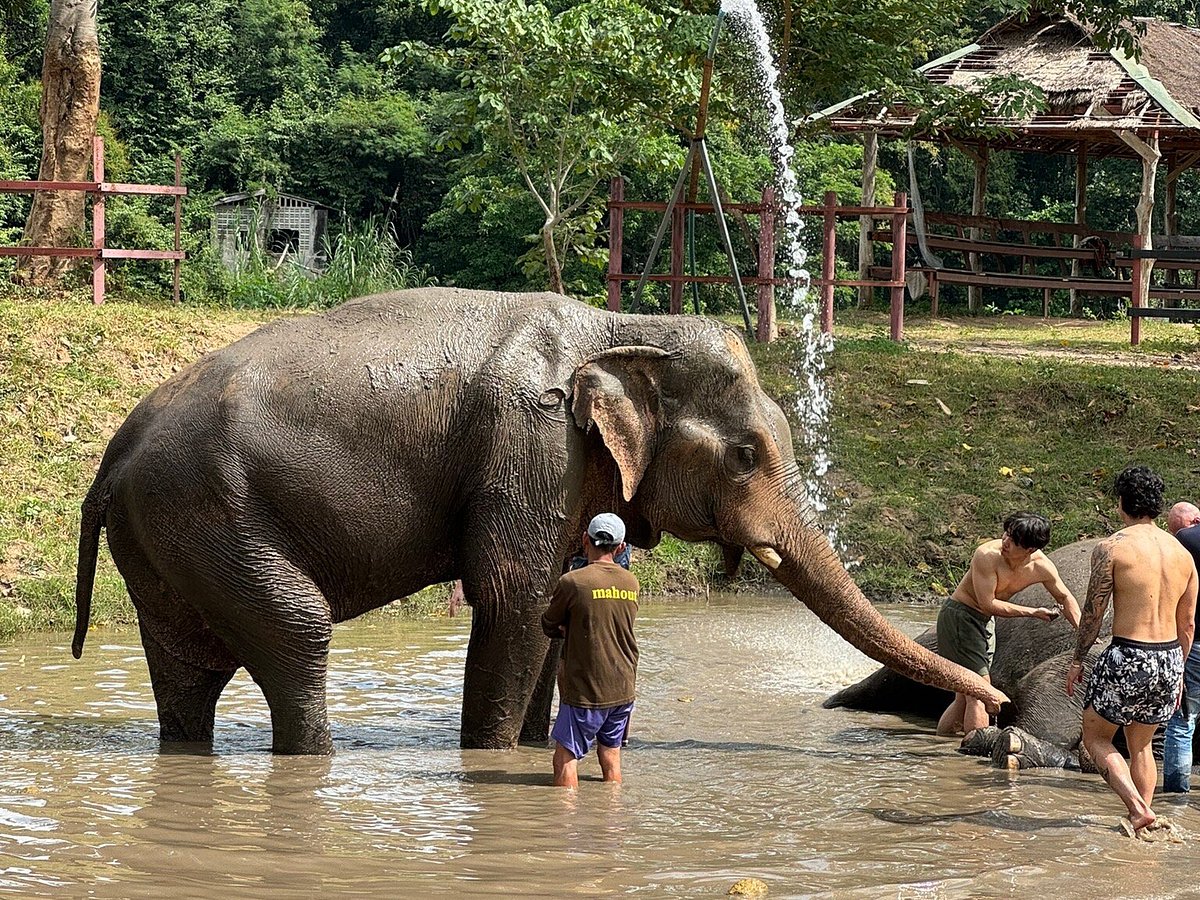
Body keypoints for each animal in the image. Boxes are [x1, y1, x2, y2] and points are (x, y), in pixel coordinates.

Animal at [68, 289, 1003, 753]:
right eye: (746, 457)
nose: (993, 707)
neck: (619, 324)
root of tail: (111, 459)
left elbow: (559, 602)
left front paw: (526, 747)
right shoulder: (528, 440)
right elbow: (513, 598)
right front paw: (487, 760)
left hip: (170, 540)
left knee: (188, 668)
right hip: (211, 516)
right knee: (297, 634)